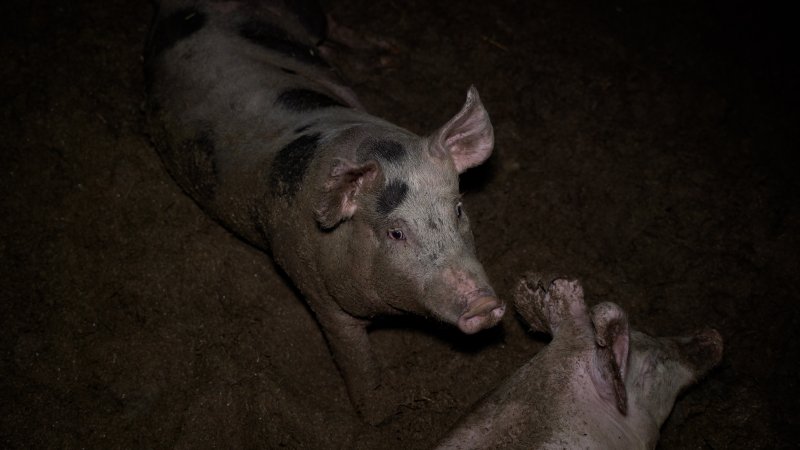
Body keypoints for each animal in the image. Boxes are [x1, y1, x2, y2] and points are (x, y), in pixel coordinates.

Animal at [143, 0, 504, 424]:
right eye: (395, 232)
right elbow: (352, 355)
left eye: (459, 208)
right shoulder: (311, 281)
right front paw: (378, 414)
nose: (483, 303)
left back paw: (388, 52)